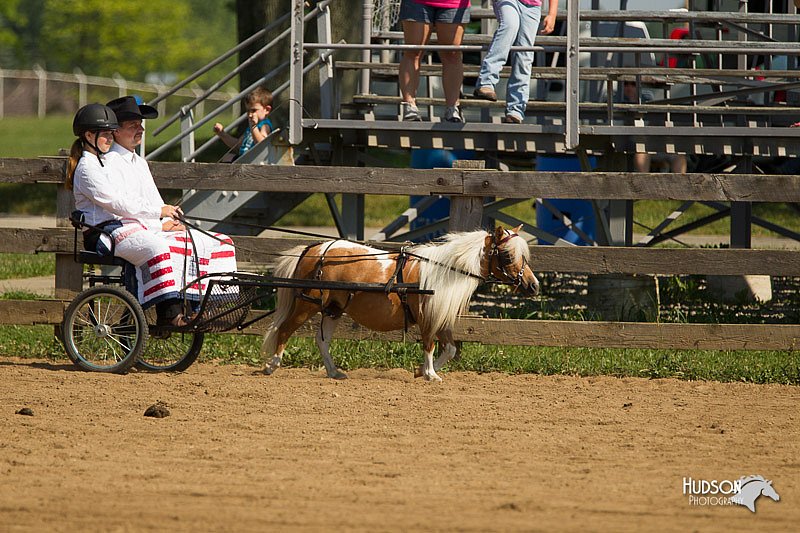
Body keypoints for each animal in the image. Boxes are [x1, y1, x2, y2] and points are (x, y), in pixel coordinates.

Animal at [260, 225, 536, 382]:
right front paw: (431, 374)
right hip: (306, 305)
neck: (445, 271)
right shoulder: (427, 318)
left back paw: (334, 372)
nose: (533, 286)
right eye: (508, 255)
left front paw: (421, 372)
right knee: (284, 329)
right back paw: (271, 366)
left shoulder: (441, 320)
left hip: (333, 309)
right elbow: (429, 346)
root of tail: (314, 248)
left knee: (322, 340)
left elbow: (449, 349)